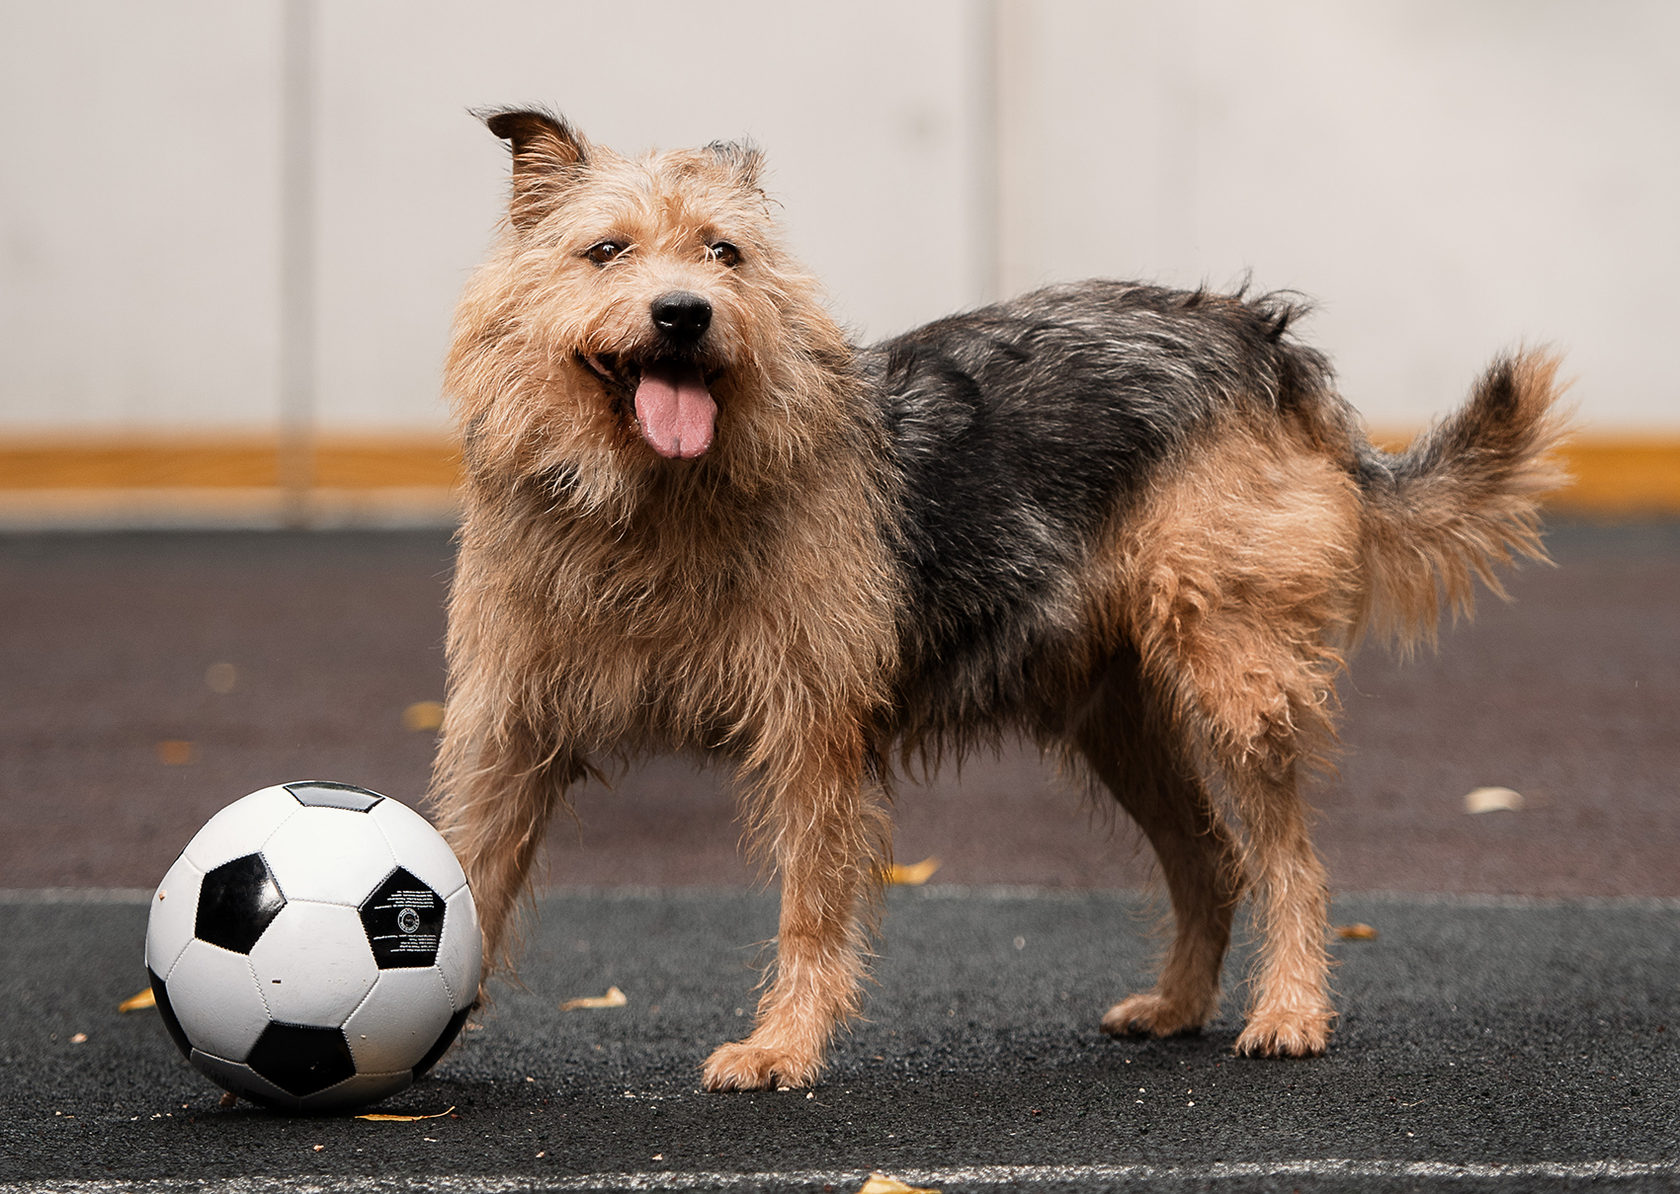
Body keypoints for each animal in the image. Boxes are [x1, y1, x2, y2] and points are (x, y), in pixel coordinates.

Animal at [426, 112, 1565, 1094]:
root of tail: (1260, 337)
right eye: (607, 251)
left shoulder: (813, 736)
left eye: (725, 254)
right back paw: (1177, 1006)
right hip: (1117, 719)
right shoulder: (507, 731)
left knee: (1288, 862)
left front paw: (782, 1047)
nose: (684, 313)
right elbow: (472, 871)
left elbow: (810, 908)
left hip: (1232, 676)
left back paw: (1289, 1011)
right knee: (1211, 860)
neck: (646, 504)